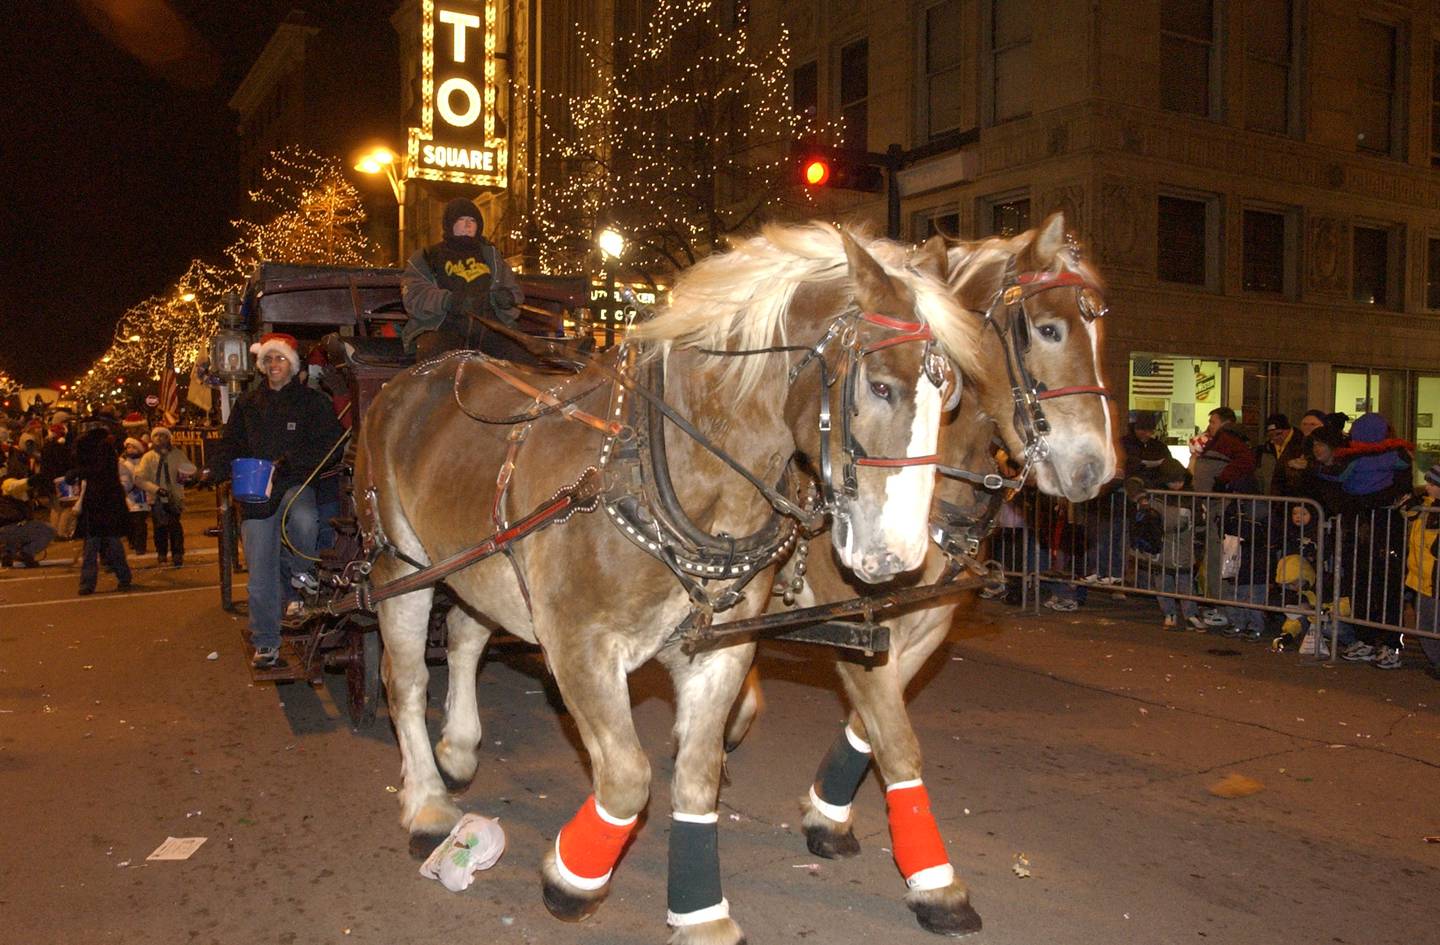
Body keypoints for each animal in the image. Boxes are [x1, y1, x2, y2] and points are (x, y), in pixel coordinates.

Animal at [360, 223, 990, 945]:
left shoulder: (720, 650)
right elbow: (628, 779)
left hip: (479, 568)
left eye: (951, 399)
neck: (669, 476)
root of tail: (420, 375)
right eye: (882, 387)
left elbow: (695, 775)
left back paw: (459, 748)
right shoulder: (579, 646)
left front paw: (699, 911)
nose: (900, 555)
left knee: (465, 634)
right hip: (401, 565)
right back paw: (427, 803)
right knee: (406, 681)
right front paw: (572, 877)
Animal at [725, 216, 1117, 939]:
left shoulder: (925, 623)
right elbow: (899, 741)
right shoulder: (852, 614)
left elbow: (875, 721)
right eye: (1049, 328)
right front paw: (936, 883)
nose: (1093, 469)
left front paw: (827, 811)